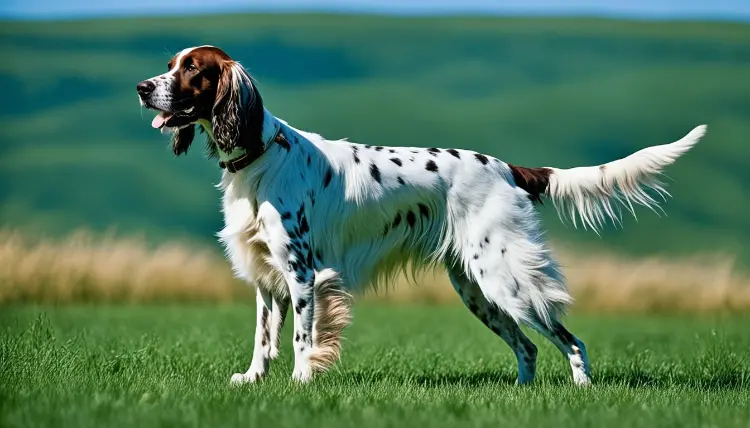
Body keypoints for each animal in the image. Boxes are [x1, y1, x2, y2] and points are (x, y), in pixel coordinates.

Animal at [138, 46, 708, 384]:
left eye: (192, 69)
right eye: (170, 64)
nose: (144, 88)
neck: (259, 156)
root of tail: (507, 169)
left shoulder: (302, 273)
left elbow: (301, 337)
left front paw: (301, 381)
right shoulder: (264, 277)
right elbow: (263, 339)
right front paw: (252, 380)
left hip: (507, 279)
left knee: (569, 339)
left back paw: (581, 388)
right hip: (476, 288)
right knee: (527, 348)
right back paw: (522, 394)